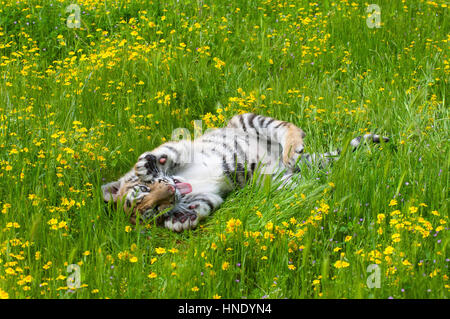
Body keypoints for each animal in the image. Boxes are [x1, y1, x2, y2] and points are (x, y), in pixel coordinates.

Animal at [101, 113, 386, 232]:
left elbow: (168, 152)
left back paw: (293, 148)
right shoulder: (210, 195)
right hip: (279, 181)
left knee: (287, 127)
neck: (186, 182)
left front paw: (148, 163)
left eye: (145, 190)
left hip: (246, 120)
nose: (169, 192)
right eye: (154, 210)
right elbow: (201, 205)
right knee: (308, 185)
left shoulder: (184, 147)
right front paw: (181, 220)